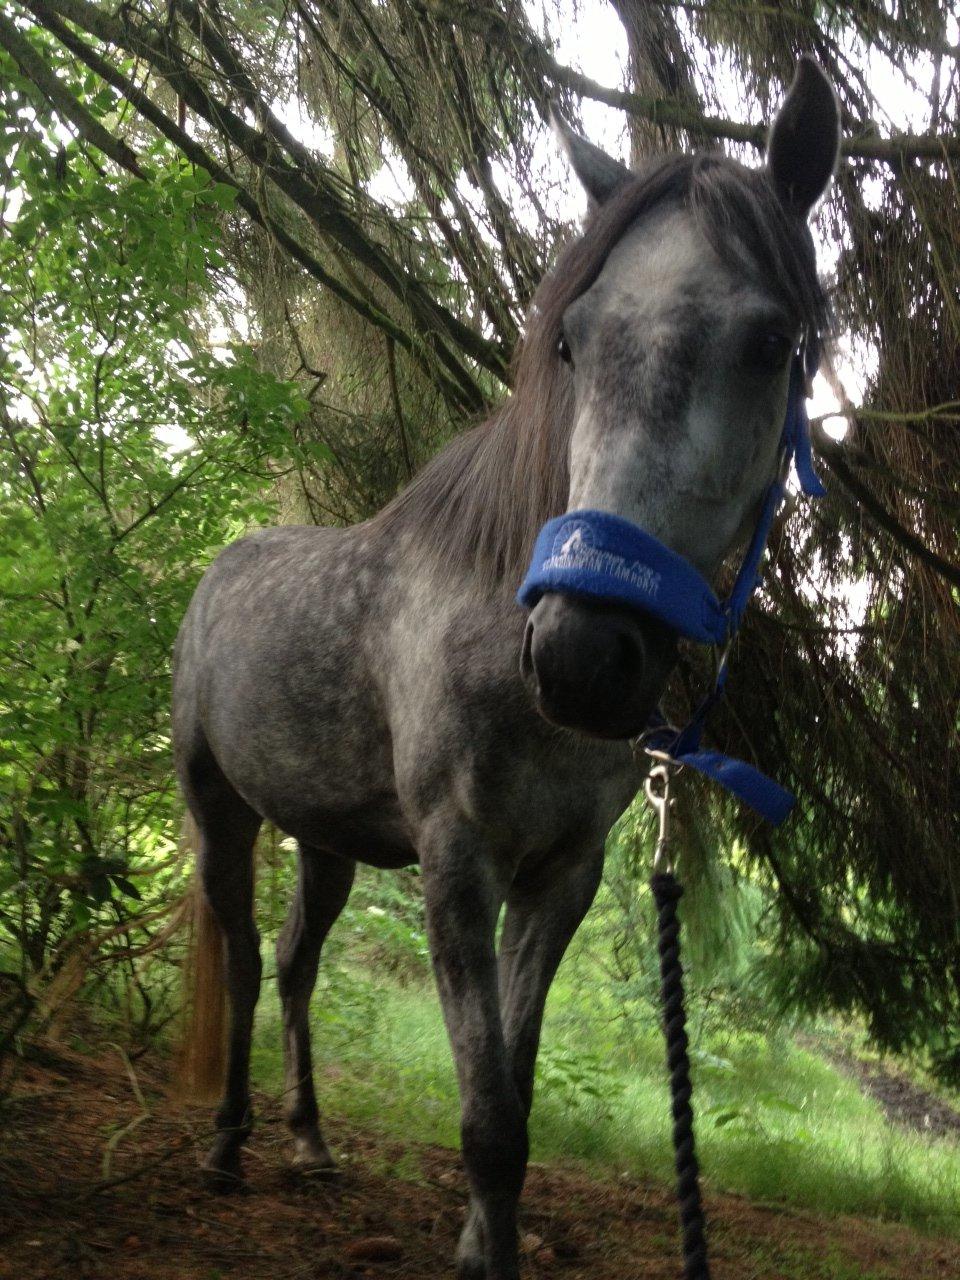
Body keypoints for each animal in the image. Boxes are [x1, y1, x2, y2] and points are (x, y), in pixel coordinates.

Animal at [175, 57, 840, 1280]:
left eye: (772, 343)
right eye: (570, 340)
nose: (581, 656)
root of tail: (221, 570)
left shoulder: (560, 875)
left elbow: (516, 1096)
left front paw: (485, 1244)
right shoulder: (458, 862)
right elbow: (486, 1116)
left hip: (323, 839)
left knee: (293, 964)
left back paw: (310, 1143)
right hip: (219, 812)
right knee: (243, 961)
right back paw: (229, 1144)